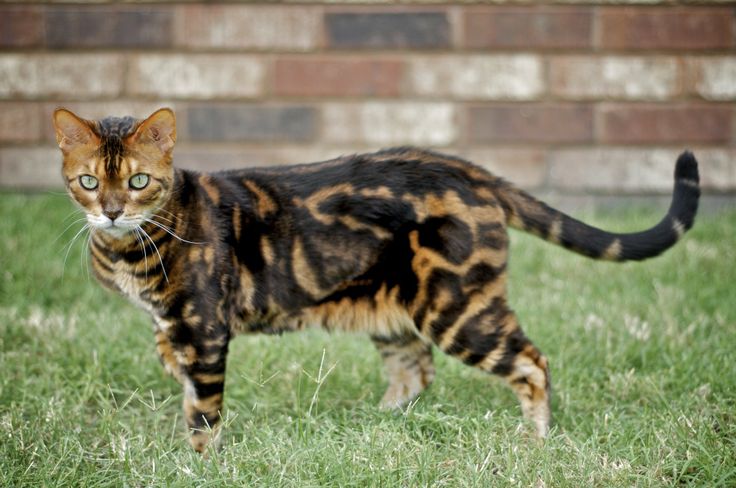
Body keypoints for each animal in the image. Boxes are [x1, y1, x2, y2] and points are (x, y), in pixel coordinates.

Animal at [53, 108, 700, 452]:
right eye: (89, 181)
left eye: (138, 182)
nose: (111, 211)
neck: (132, 248)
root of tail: (467, 170)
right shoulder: (172, 328)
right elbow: (178, 376)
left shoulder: (204, 328)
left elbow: (203, 411)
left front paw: (199, 461)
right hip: (393, 307)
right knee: (416, 372)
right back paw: (374, 426)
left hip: (457, 307)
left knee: (531, 362)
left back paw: (535, 441)